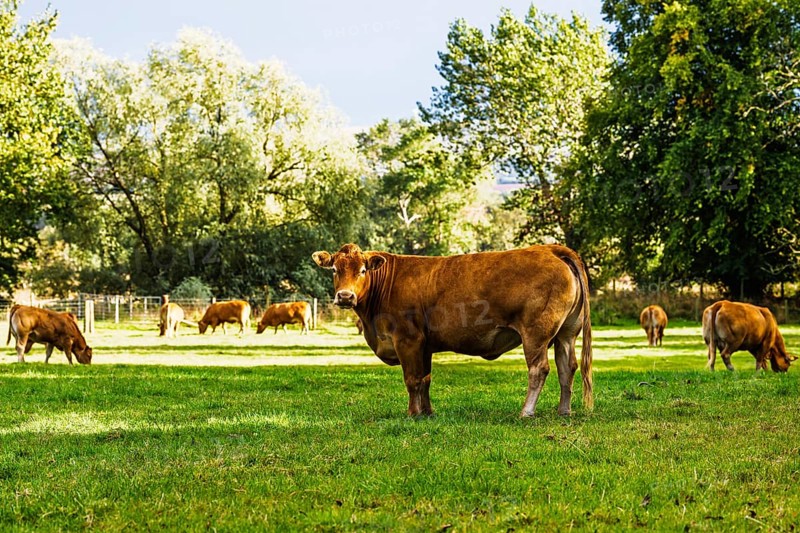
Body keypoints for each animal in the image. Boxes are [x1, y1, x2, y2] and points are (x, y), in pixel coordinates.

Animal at [312, 243, 592, 418]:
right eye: (335, 269)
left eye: (362, 270)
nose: (345, 296)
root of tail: (550, 249)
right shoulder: (424, 345)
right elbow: (425, 379)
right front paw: (427, 413)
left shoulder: (407, 339)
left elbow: (412, 379)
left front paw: (412, 413)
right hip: (566, 333)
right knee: (567, 367)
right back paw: (564, 411)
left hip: (536, 333)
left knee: (539, 369)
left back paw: (526, 411)